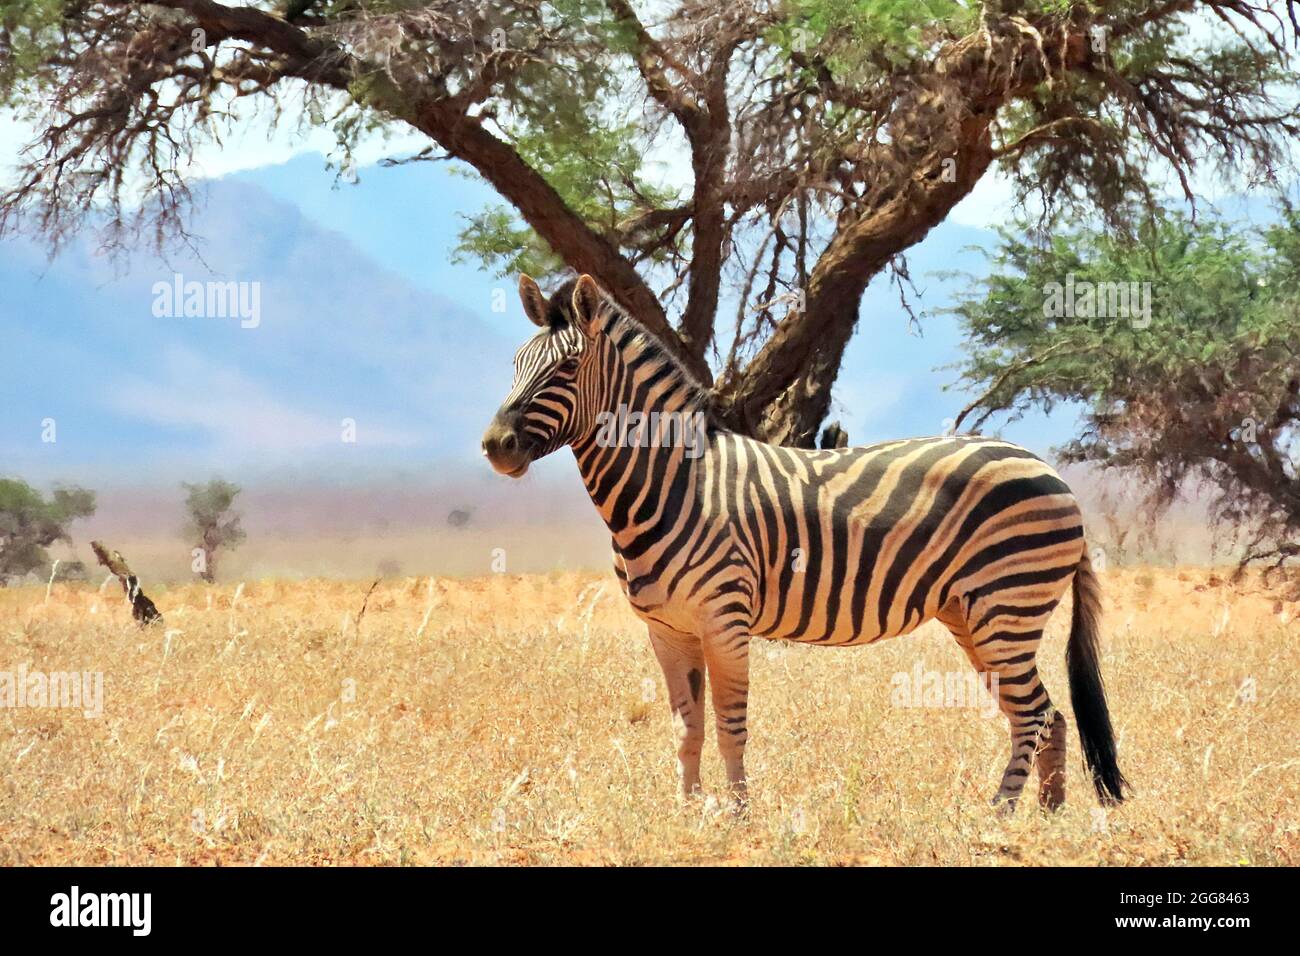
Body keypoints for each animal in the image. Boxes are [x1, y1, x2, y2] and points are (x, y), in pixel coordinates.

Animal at [480, 273, 1128, 811]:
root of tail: (1049, 470)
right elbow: (687, 727)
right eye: (514, 364)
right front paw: (687, 814)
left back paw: (999, 814)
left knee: (1036, 714)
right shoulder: (667, 630)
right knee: (1048, 715)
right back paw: (1046, 814)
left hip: (1006, 604)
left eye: (565, 370)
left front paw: (738, 817)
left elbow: (730, 724)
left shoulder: (724, 619)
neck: (675, 485)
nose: (494, 446)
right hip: (972, 613)